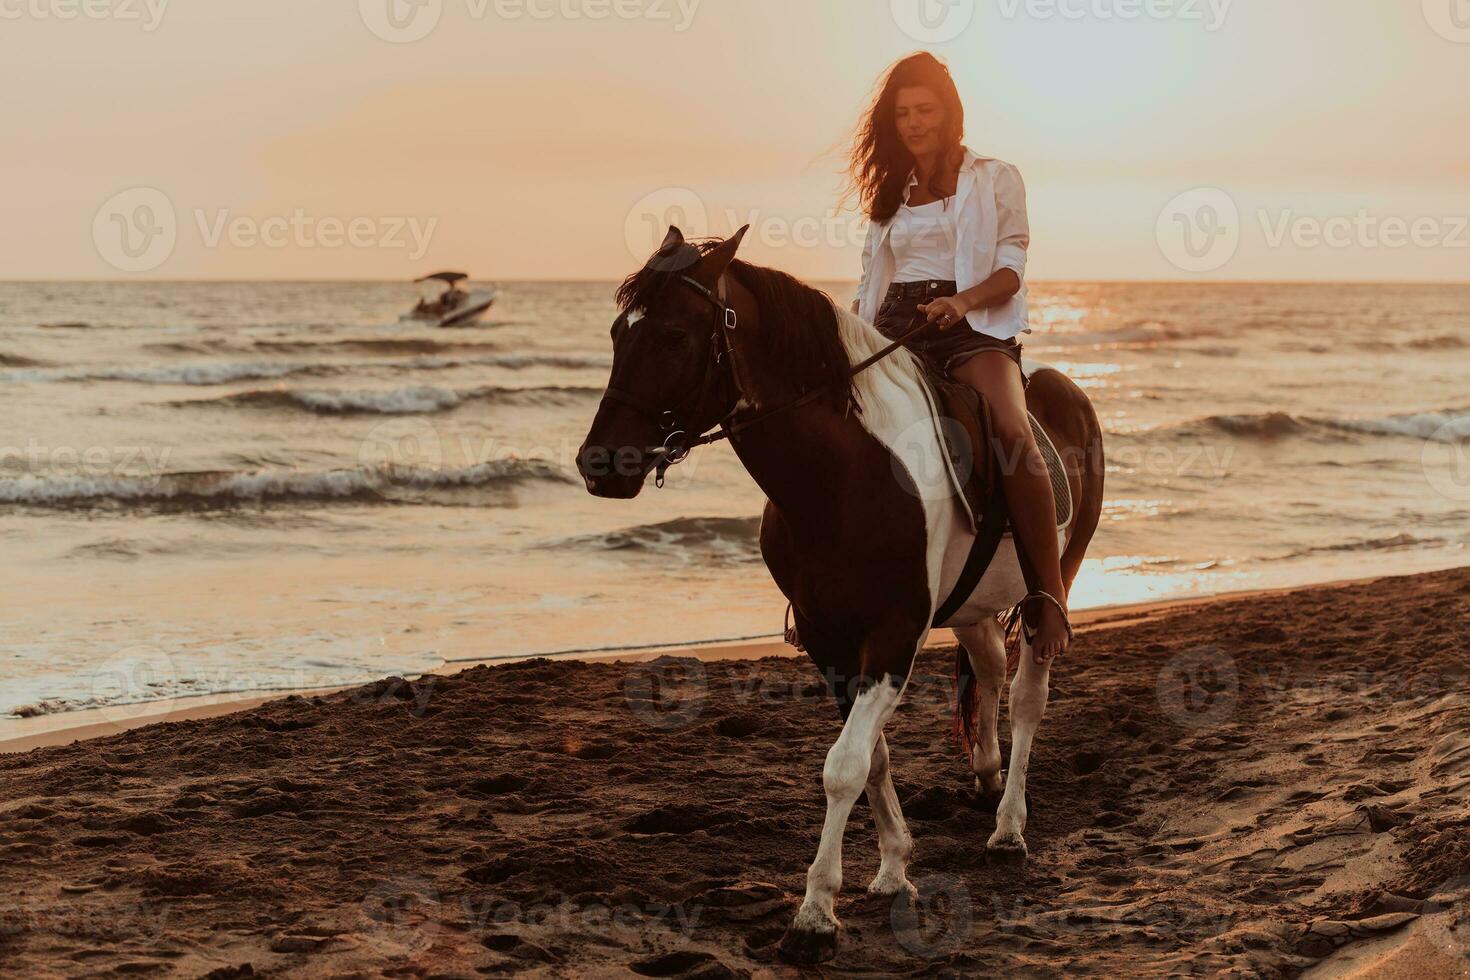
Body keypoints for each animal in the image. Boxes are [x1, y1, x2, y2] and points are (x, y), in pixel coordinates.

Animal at [573, 224, 1105, 963]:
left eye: (675, 336)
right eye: (618, 332)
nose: (599, 464)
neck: (845, 474)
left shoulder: (893, 634)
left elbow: (845, 765)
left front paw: (816, 910)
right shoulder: (828, 638)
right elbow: (872, 758)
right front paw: (891, 868)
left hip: (1049, 584)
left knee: (1028, 696)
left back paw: (1008, 828)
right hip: (970, 606)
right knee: (990, 669)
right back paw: (986, 775)